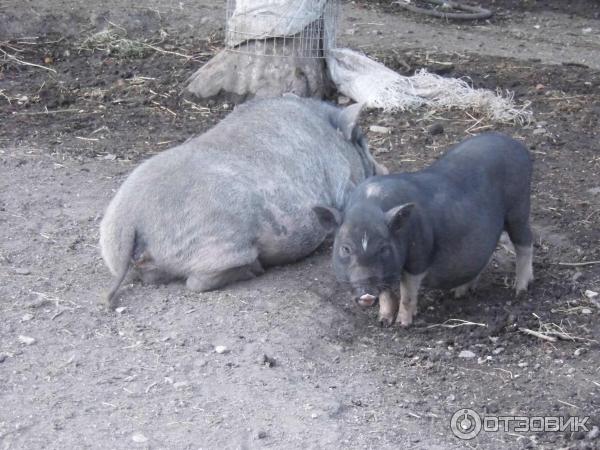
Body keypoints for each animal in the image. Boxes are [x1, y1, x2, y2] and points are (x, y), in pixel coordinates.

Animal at [100, 96, 386, 308]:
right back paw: (254, 270)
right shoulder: (342, 186)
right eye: (362, 144)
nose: (383, 170)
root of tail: (130, 220)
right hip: (222, 240)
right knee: (199, 281)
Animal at [314, 133, 536, 326]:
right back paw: (459, 293)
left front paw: (403, 324)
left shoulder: (418, 256)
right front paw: (383, 322)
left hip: (519, 208)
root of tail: (519, 146)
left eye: (384, 248)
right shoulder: (387, 270)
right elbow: (386, 294)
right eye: (345, 248)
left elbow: (407, 293)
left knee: (525, 242)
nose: (366, 291)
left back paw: (520, 290)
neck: (369, 204)